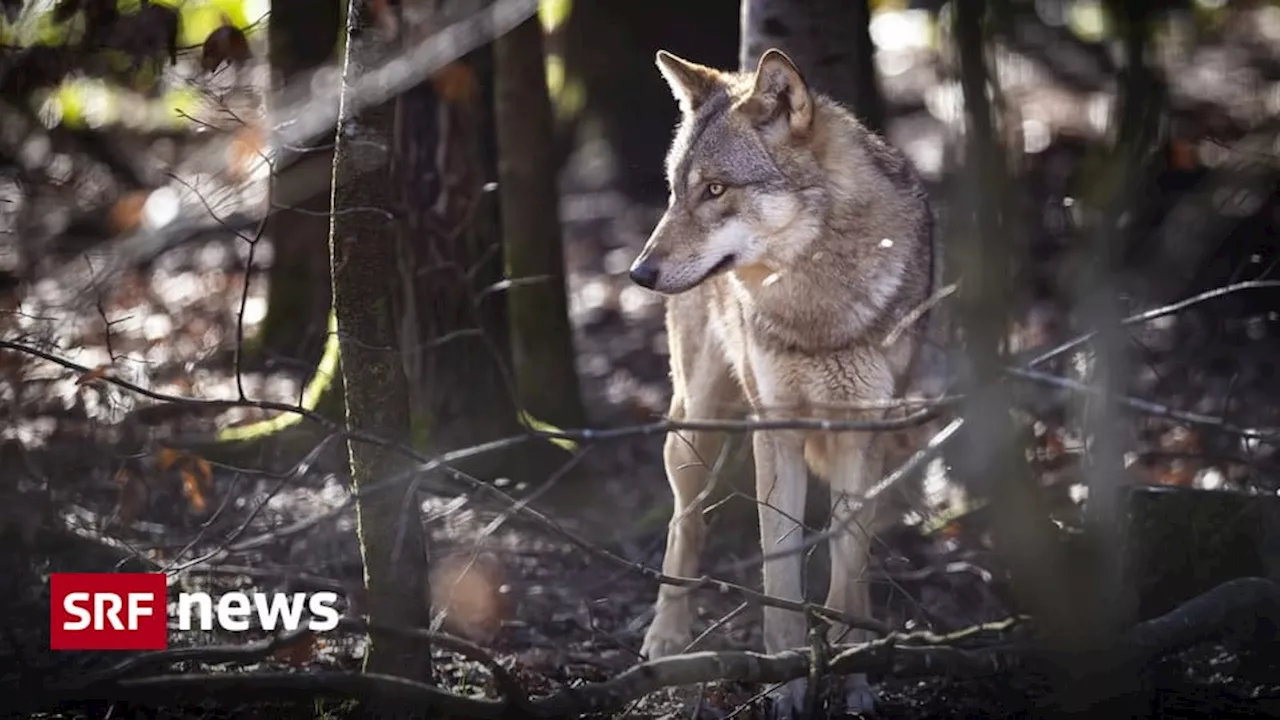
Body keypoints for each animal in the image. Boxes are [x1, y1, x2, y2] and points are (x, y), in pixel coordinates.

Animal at [629, 47, 942, 712]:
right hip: (695, 427)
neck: (815, 306)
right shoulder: (776, 431)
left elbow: (848, 571)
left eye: (715, 189)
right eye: (674, 191)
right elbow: (779, 572)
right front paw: (788, 684)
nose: (639, 273)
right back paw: (667, 637)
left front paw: (854, 677)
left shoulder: (860, 433)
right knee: (685, 520)